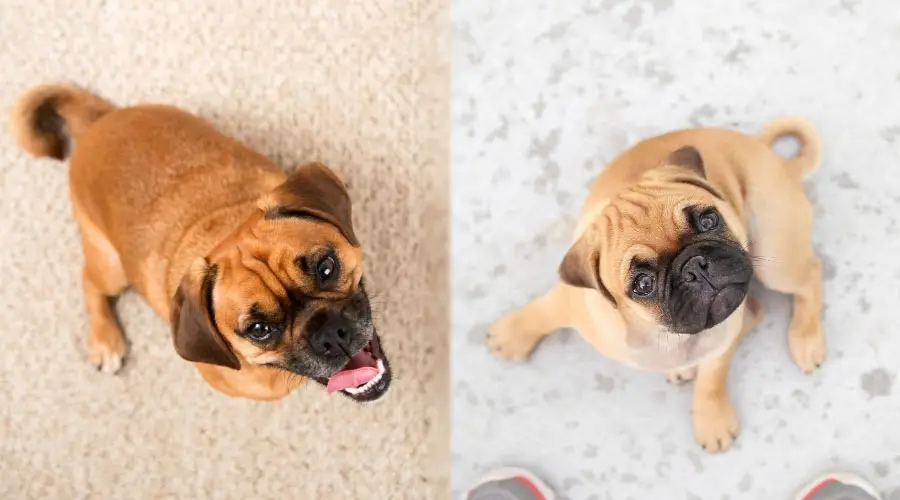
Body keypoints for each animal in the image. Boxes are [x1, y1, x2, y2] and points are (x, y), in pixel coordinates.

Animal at [8, 82, 392, 402]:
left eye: (326, 268)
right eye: (259, 330)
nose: (330, 334)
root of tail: (97, 121)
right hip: (111, 268)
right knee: (90, 283)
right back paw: (106, 341)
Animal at [488, 117, 828, 454]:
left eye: (708, 220)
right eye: (643, 284)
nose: (695, 266)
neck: (660, 333)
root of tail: (773, 157)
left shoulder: (720, 342)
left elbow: (712, 377)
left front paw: (711, 418)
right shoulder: (573, 301)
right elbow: (543, 311)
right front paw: (512, 334)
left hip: (776, 257)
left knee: (808, 276)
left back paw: (805, 339)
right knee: (754, 311)